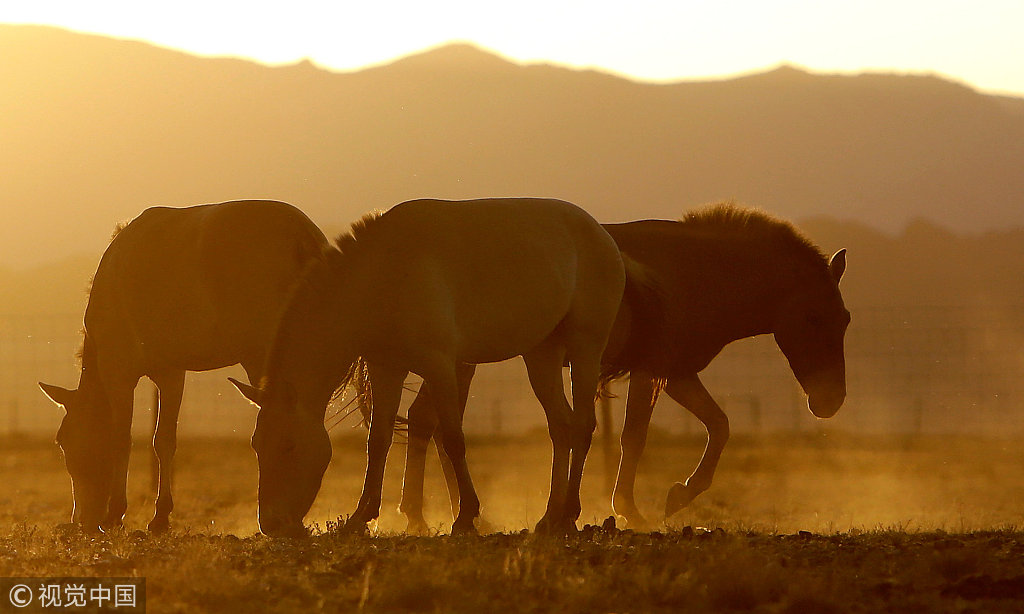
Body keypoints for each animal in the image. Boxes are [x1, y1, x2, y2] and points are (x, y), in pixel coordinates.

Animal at [38, 200, 327, 532]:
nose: (81, 519)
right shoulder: (171, 373)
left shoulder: (118, 373)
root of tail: (301, 236)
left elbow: (122, 439)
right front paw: (160, 516)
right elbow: (164, 440)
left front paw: (115, 514)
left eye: (62, 441)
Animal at [229, 199, 622, 536]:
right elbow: (379, 440)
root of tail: (599, 232)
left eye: (289, 446)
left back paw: (569, 513)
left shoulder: (440, 365)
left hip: (585, 348)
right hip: (541, 354)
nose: (271, 523)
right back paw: (550, 517)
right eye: (256, 445)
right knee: (561, 427)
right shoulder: (387, 368)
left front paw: (465, 517)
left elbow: (453, 438)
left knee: (583, 426)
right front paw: (359, 518)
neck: (383, 274)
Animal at [395, 203, 843, 528]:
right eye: (812, 317)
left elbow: (719, 424)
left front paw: (680, 494)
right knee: (433, 425)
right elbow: (636, 436)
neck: (693, 270)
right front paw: (632, 508)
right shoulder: (653, 369)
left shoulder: (676, 371)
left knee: (425, 422)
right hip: (459, 362)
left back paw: (431, 515)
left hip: (458, 362)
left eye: (846, 319)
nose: (829, 402)